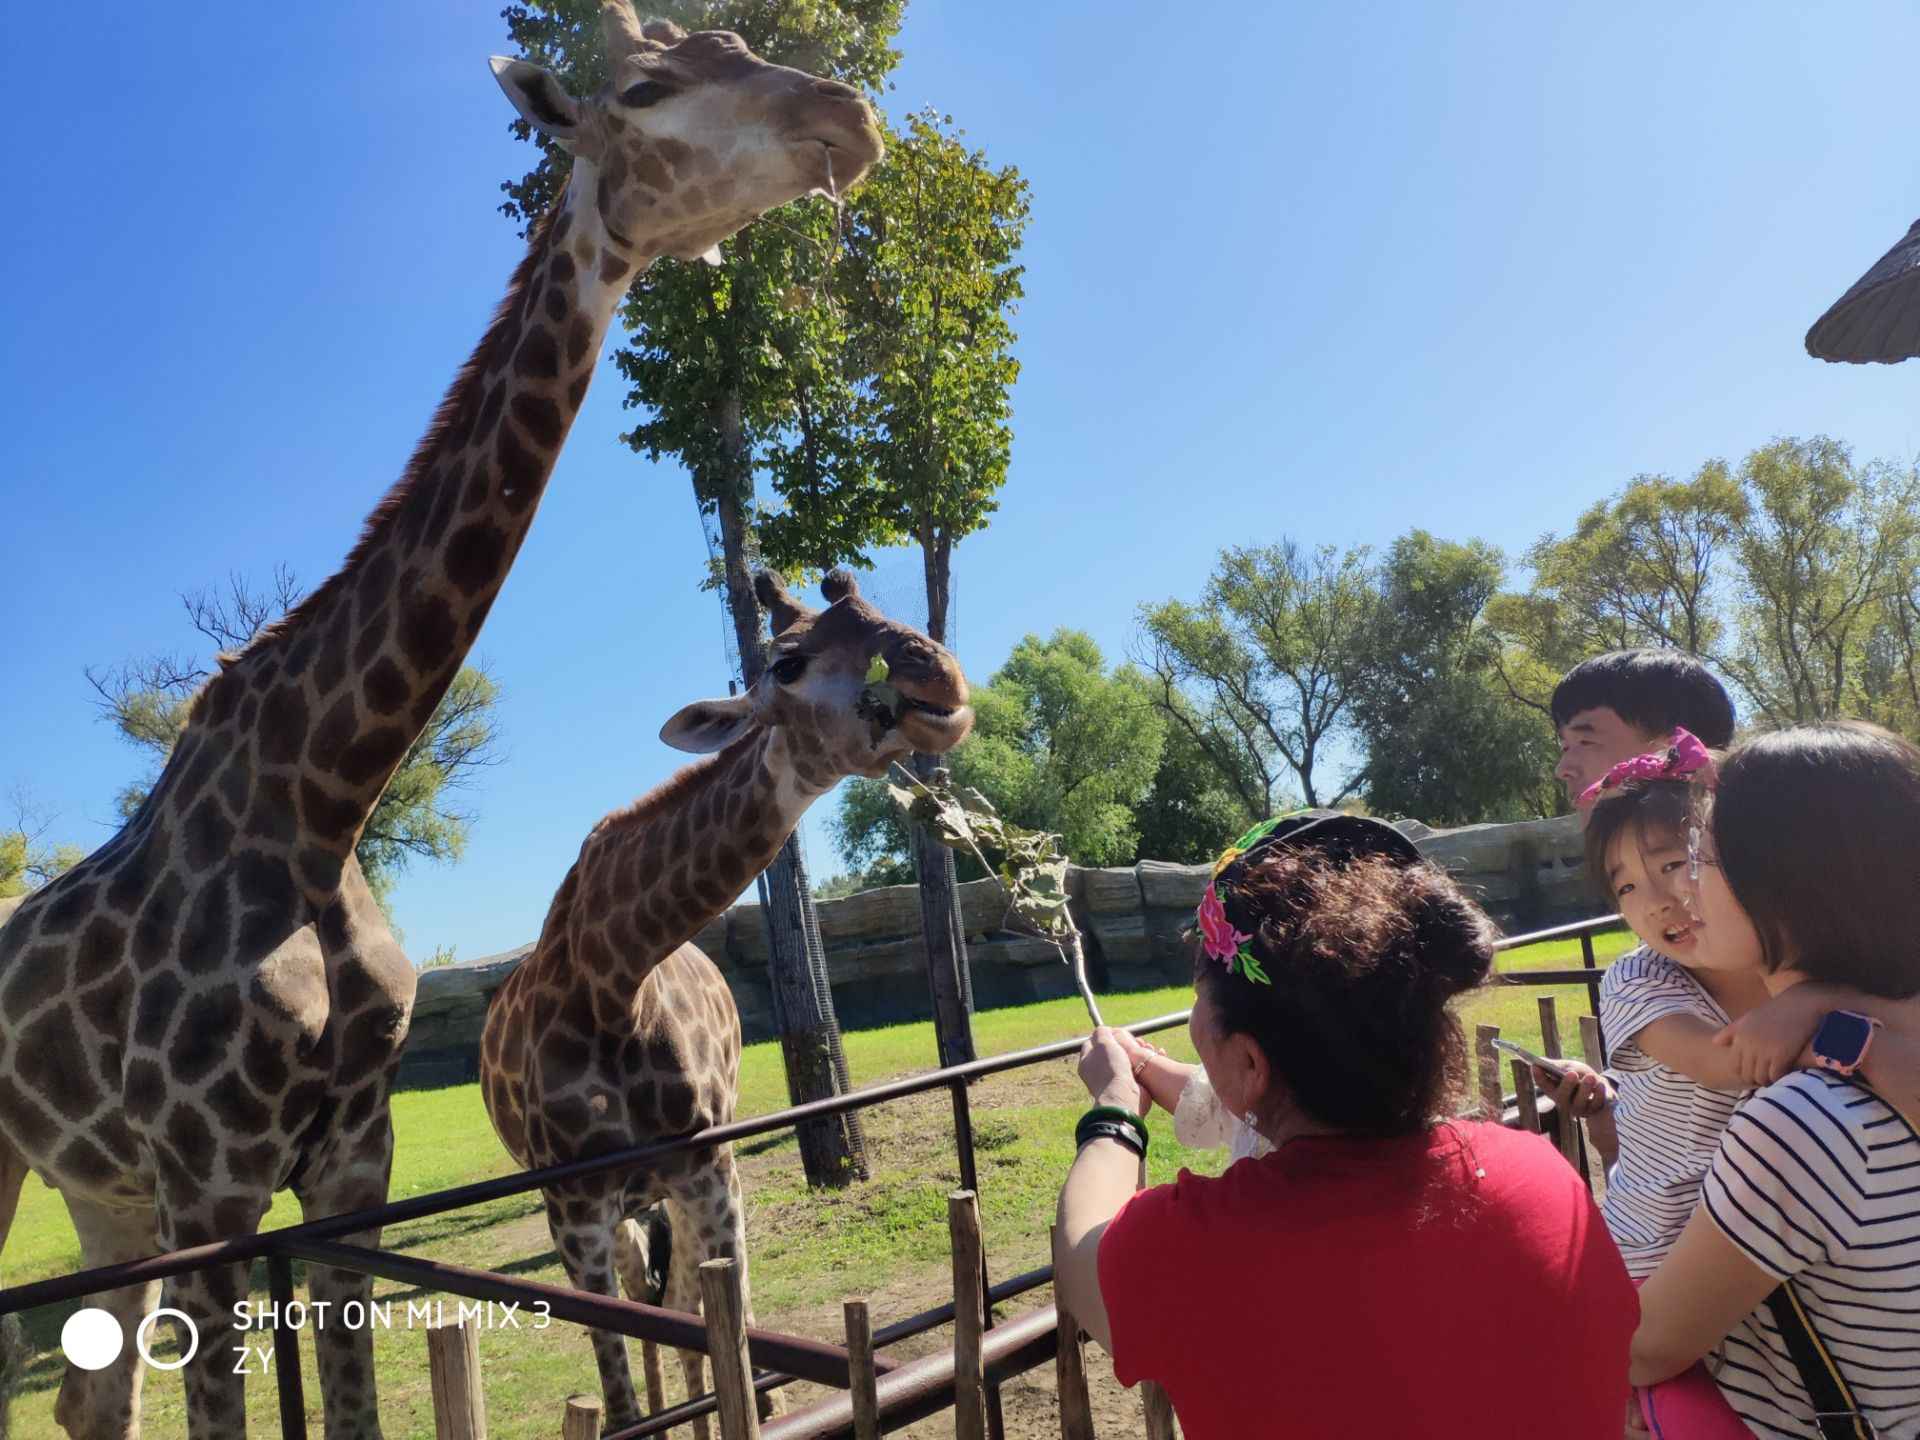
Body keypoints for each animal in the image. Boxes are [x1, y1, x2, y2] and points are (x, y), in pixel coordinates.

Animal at [0, 14, 879, 1440]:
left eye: (744, 41)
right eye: (646, 88)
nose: (845, 117)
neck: (323, 794)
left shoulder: (351, 1170)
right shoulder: (215, 1183)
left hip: (99, 1194)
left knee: (94, 1397)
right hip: (36, 1169)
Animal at [474, 576, 967, 1440]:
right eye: (788, 663)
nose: (938, 678)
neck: (611, 979)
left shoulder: (711, 1169)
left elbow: (733, 1345)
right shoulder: (574, 1208)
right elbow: (619, 1392)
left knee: (678, 1312)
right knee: (649, 1313)